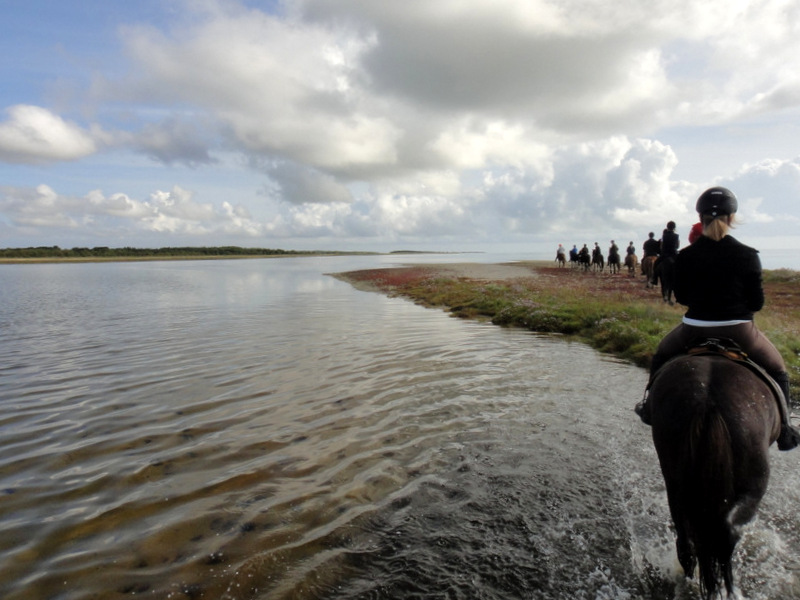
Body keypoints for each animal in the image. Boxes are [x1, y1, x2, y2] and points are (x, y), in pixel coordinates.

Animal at [648, 354, 776, 596]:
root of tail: (708, 402)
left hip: (676, 481)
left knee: (687, 543)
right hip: (755, 483)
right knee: (727, 534)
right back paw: (727, 589)